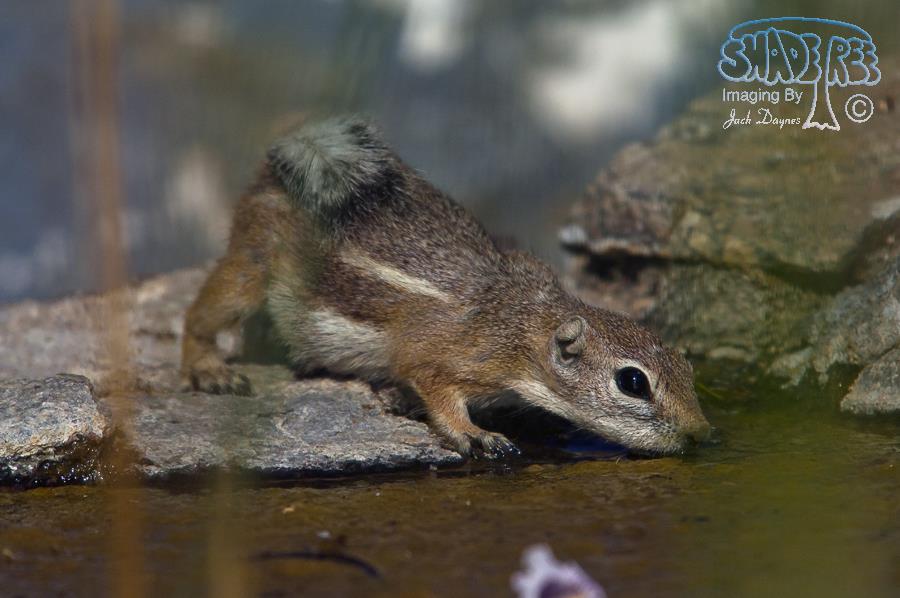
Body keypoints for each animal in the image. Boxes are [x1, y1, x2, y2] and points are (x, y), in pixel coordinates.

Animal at [180, 116, 711, 458]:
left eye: (687, 366)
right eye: (633, 382)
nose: (700, 434)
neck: (524, 325)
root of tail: (280, 165)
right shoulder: (442, 357)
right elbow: (435, 388)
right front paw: (474, 434)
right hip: (252, 261)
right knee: (205, 312)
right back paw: (208, 368)